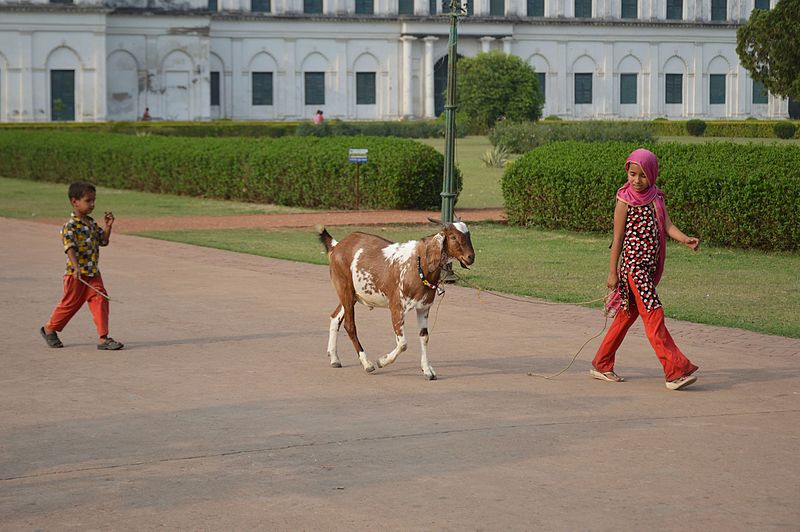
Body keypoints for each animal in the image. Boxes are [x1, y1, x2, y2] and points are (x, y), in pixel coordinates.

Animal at [316, 220, 472, 378]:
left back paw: (334, 358)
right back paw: (367, 363)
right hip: (345, 289)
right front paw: (382, 361)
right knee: (349, 325)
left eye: (468, 235)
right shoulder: (397, 307)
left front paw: (427, 370)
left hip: (352, 295)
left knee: (335, 317)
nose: (471, 257)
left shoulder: (423, 308)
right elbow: (403, 344)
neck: (419, 263)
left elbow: (424, 337)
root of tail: (337, 246)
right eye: (453, 237)